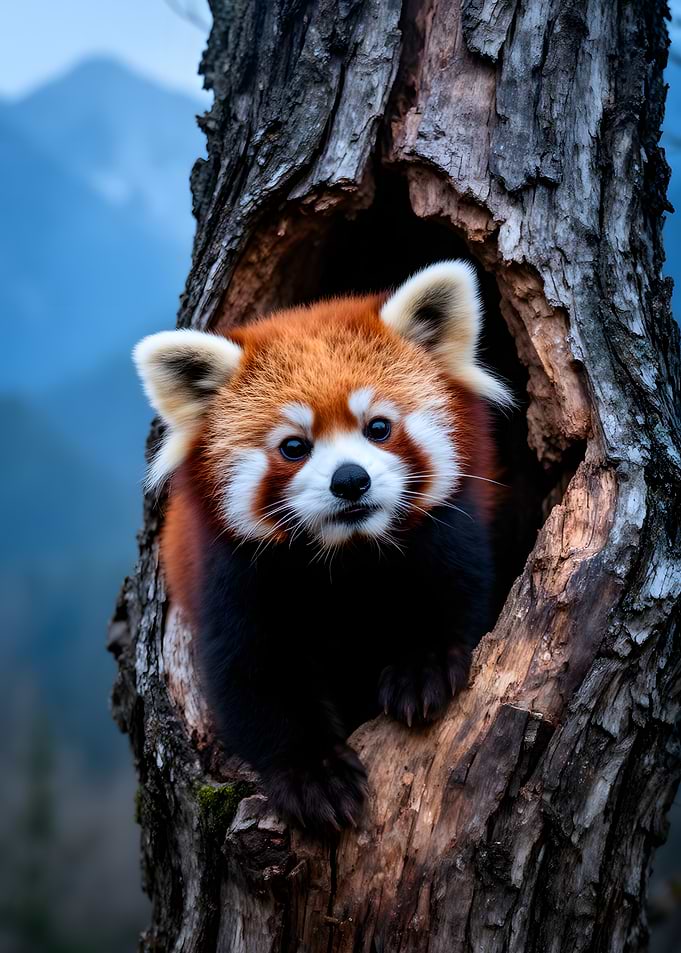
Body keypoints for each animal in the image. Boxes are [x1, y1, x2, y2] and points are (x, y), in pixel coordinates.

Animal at [134, 261, 513, 830]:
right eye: (294, 446)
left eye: (378, 427)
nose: (350, 480)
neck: (346, 557)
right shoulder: (232, 574)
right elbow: (252, 676)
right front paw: (314, 774)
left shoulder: (450, 531)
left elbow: (456, 595)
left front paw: (420, 668)